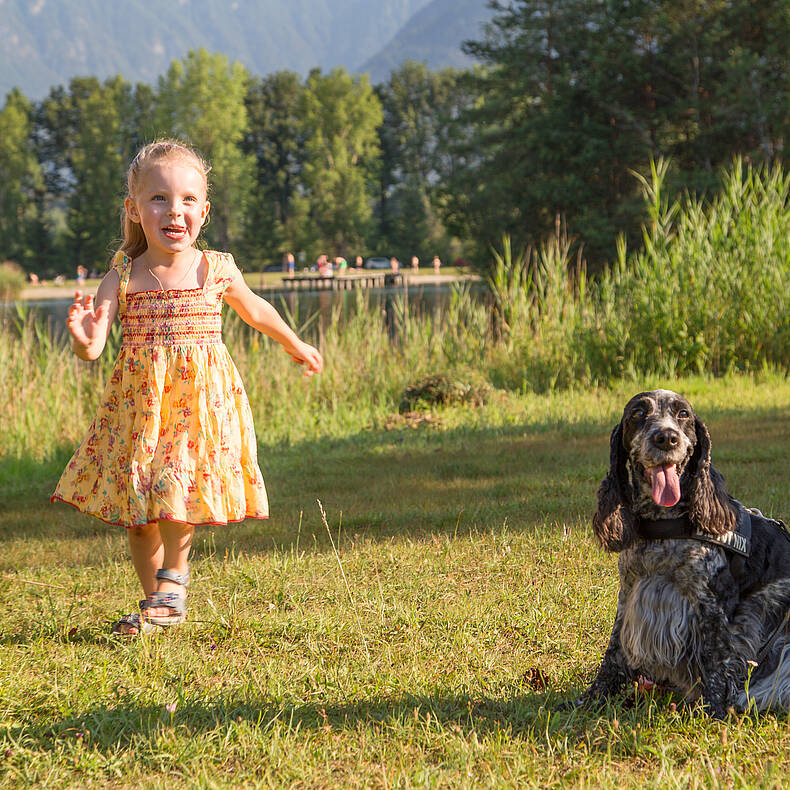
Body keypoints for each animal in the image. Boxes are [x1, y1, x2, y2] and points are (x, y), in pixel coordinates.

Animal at [572, 390, 790, 716]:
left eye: (683, 414)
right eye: (638, 413)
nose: (666, 437)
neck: (664, 526)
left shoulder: (713, 603)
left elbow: (715, 659)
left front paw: (713, 712)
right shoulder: (630, 594)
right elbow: (614, 651)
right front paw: (590, 700)